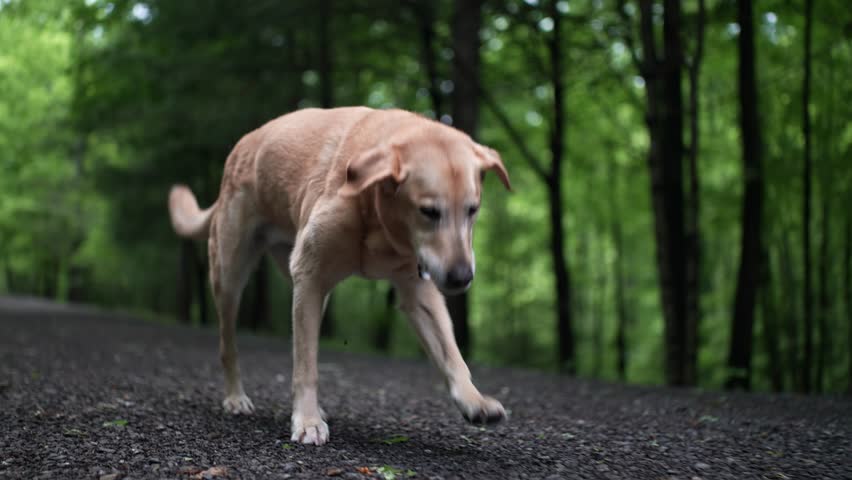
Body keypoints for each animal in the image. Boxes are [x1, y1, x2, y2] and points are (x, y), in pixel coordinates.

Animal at [170, 107, 510, 444]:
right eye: (428, 212)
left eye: (473, 209)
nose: (462, 277)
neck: (374, 211)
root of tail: (241, 148)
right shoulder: (310, 275)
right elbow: (307, 367)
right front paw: (307, 421)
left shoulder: (417, 292)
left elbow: (451, 354)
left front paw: (474, 400)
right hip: (230, 275)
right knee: (229, 345)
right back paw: (236, 397)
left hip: (311, 292)